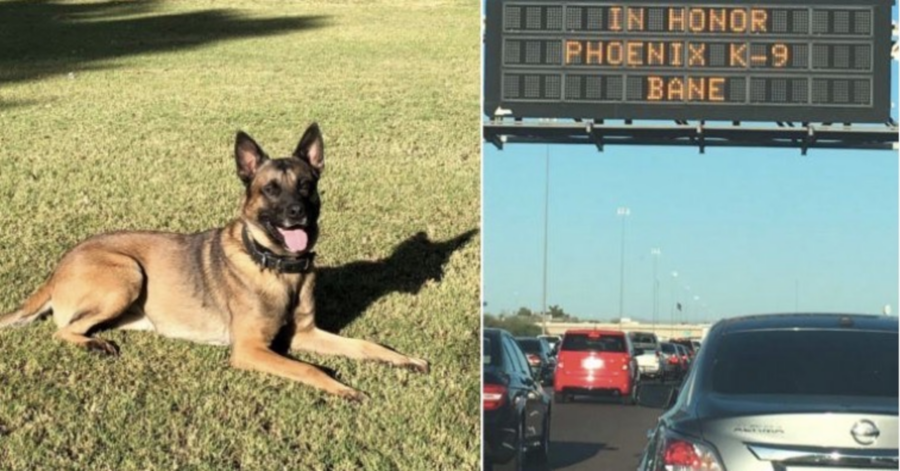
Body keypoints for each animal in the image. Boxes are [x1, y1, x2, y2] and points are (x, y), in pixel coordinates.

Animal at [0, 122, 428, 402]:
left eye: (307, 185)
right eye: (271, 189)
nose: (297, 214)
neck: (275, 267)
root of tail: (58, 267)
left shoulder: (306, 334)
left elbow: (367, 344)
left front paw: (404, 359)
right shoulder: (250, 350)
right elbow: (309, 367)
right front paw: (344, 388)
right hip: (128, 273)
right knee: (62, 330)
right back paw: (94, 344)